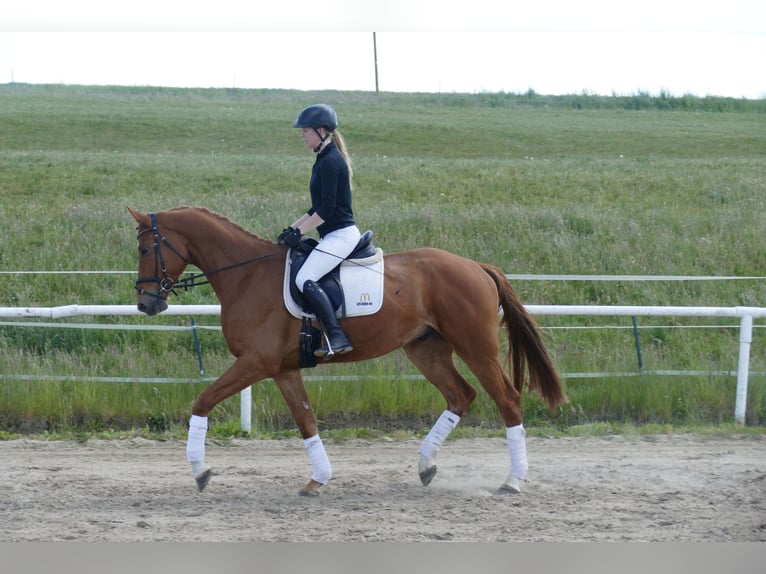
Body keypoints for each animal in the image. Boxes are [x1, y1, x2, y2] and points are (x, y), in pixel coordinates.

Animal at [128, 206, 565, 495]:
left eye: (146, 250)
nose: (147, 304)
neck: (246, 274)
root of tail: (476, 266)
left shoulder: (255, 362)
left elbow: (202, 402)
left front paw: (200, 472)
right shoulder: (283, 369)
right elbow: (307, 422)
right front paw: (316, 479)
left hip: (476, 347)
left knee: (507, 399)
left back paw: (512, 481)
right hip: (426, 349)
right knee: (461, 394)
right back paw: (426, 466)